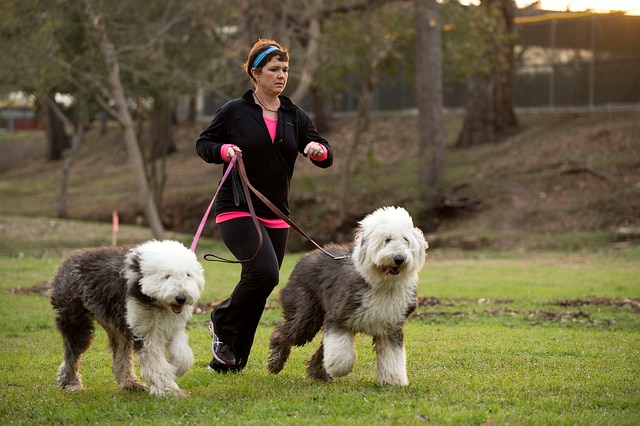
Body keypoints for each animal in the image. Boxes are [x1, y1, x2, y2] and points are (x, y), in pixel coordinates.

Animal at [48, 240, 204, 396]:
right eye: (167, 276)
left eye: (188, 275)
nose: (181, 298)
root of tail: (68, 260)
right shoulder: (145, 333)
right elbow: (155, 362)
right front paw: (169, 390)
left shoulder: (172, 328)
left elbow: (182, 354)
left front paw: (177, 369)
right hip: (75, 319)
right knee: (72, 354)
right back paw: (70, 383)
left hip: (116, 325)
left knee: (120, 356)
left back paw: (130, 384)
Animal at [268, 206, 428, 386]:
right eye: (387, 240)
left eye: (405, 240)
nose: (399, 258)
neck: (381, 282)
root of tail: (309, 254)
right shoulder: (338, 317)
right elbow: (341, 355)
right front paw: (340, 368)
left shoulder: (390, 326)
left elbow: (392, 356)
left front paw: (393, 381)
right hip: (305, 310)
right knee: (286, 331)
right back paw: (276, 362)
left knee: (320, 349)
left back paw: (319, 374)